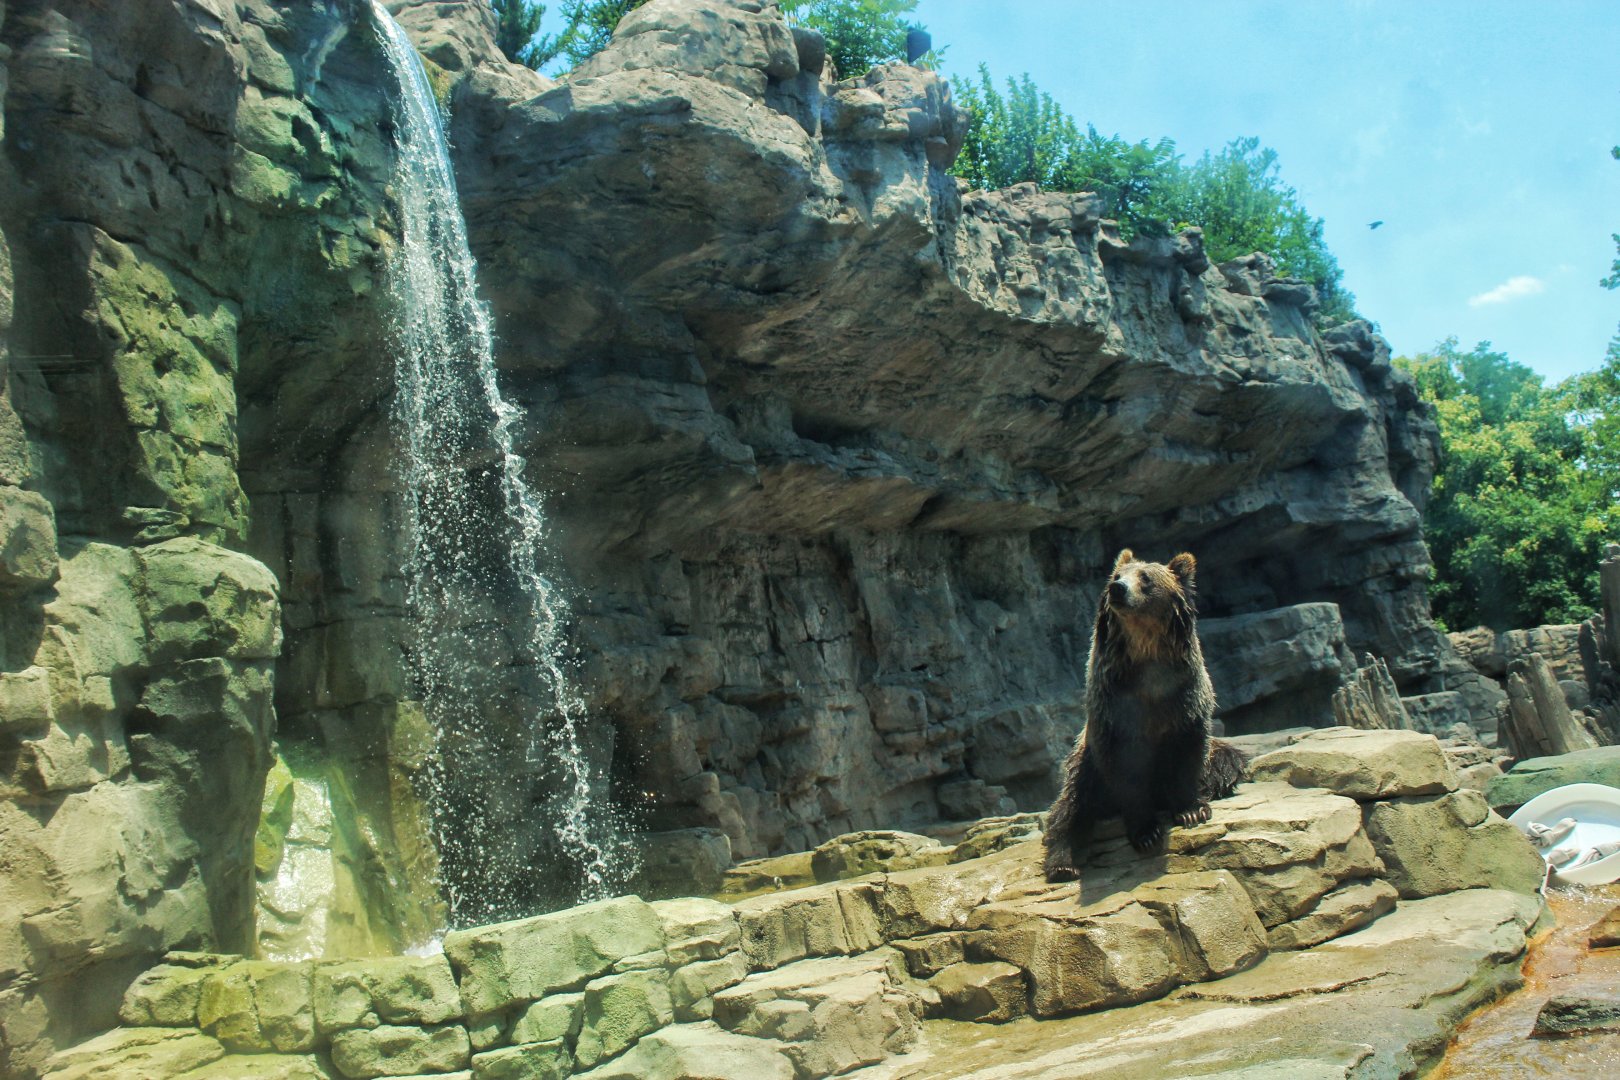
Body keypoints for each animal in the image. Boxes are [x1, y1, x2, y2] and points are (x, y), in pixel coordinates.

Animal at [1043, 547, 1247, 882]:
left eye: (1146, 578)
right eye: (1116, 576)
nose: (1118, 589)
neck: (1147, 657)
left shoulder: (1185, 700)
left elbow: (1188, 754)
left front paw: (1192, 810)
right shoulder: (1114, 709)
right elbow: (1127, 774)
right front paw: (1146, 832)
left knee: (1227, 760)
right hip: (1084, 766)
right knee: (1069, 808)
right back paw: (1063, 864)